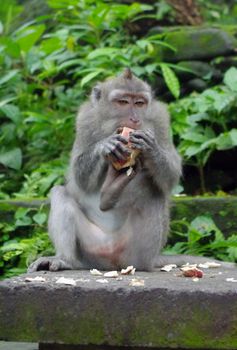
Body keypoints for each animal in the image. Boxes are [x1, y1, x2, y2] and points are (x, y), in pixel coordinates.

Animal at [27, 67, 235, 270]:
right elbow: (80, 177)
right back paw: (66, 258)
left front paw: (151, 148)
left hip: (137, 251)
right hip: (90, 251)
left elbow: (171, 175)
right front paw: (105, 146)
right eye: (123, 102)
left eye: (140, 103)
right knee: (60, 193)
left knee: (155, 192)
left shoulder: (160, 119)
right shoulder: (85, 118)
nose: (134, 119)